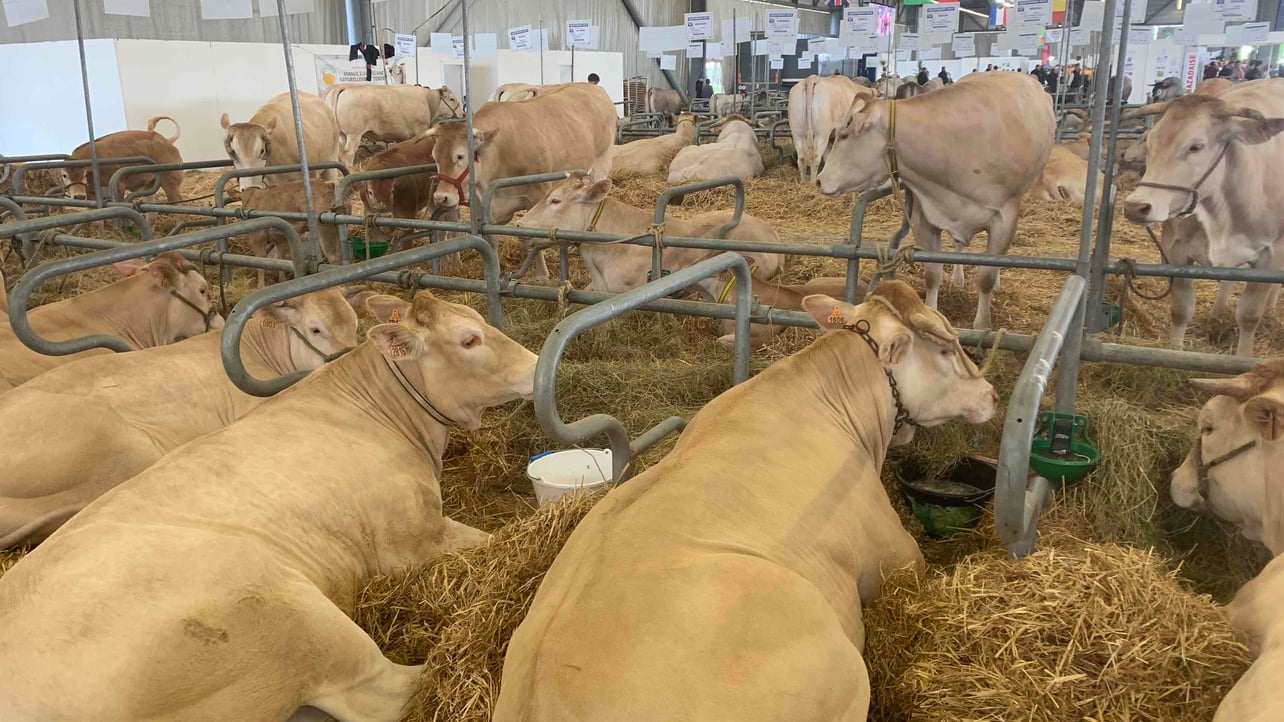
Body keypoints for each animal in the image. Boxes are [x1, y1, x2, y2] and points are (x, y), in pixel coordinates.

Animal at [325, 84, 462, 167]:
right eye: (452, 99)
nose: (463, 113)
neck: (428, 101)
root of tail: (345, 87)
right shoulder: (420, 128)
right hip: (354, 134)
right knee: (348, 155)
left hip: (342, 135)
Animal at [424, 82, 616, 281]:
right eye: (435, 157)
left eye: (460, 156)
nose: (440, 197)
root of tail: (592, 87)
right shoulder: (482, 205)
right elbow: (490, 240)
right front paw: (494, 273)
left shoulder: (538, 194)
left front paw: (542, 275)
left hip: (602, 162)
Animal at [817, 72, 1055, 330]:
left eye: (843, 135)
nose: (819, 180)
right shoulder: (925, 215)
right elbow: (933, 273)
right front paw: (931, 313)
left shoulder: (1005, 216)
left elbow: (986, 277)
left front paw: (983, 325)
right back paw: (958, 277)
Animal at [1123, 80, 1284, 356]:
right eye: (1150, 143)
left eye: (1196, 146)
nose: (1136, 206)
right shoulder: (1174, 249)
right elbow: (1181, 310)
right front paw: (1173, 353)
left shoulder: (1271, 255)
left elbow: (1250, 315)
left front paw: (1243, 359)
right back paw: (1217, 314)